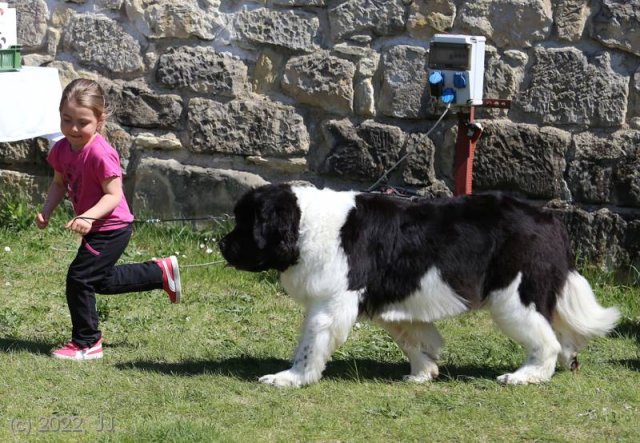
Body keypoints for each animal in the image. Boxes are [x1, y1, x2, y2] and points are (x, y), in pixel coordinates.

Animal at [220, 182, 620, 386]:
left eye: (246, 222)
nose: (223, 245)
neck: (305, 225)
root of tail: (549, 219)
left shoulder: (331, 304)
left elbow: (309, 345)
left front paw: (290, 378)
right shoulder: (392, 299)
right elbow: (413, 337)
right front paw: (423, 372)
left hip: (514, 298)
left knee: (544, 339)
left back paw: (526, 376)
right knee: (561, 335)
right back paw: (567, 360)